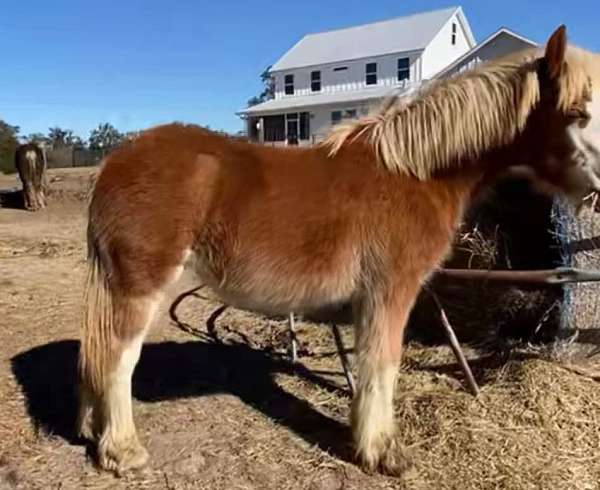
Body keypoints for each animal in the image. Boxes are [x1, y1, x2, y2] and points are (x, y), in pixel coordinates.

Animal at [77, 26, 600, 474]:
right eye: (577, 114)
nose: (597, 189)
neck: (415, 172)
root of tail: (116, 162)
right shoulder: (390, 291)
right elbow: (383, 365)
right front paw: (383, 452)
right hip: (140, 285)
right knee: (116, 359)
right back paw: (122, 451)